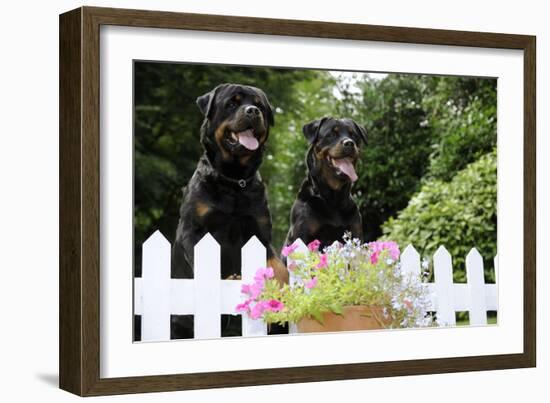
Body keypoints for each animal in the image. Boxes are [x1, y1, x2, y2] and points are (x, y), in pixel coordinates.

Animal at [174, 83, 292, 340]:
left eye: (259, 106)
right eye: (232, 103)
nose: (252, 112)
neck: (234, 180)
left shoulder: (261, 235)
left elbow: (278, 267)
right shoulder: (192, 230)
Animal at [286, 117, 368, 249]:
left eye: (354, 135)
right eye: (331, 134)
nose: (349, 143)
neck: (333, 198)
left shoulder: (355, 233)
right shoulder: (301, 233)